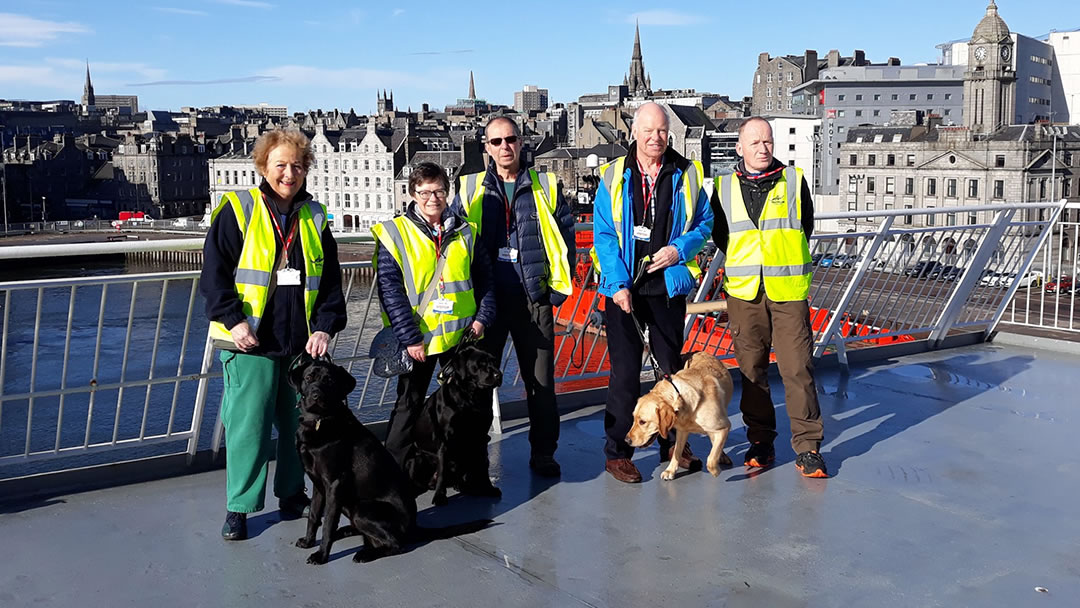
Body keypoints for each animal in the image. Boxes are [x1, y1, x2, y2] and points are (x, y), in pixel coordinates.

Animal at [287, 356, 490, 565]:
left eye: (329, 381)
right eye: (308, 378)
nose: (316, 395)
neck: (319, 422)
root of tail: (413, 527)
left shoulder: (334, 484)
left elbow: (328, 522)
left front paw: (321, 555)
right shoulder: (319, 484)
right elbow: (313, 516)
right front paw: (308, 541)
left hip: (362, 508)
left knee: (396, 544)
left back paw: (365, 553)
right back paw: (345, 531)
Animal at [406, 345, 505, 507]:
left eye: (494, 362)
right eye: (481, 363)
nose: (499, 375)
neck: (471, 398)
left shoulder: (481, 437)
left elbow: (484, 466)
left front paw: (488, 488)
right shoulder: (445, 440)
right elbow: (442, 472)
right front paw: (440, 496)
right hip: (416, 459)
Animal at [626, 352, 734, 481]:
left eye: (642, 422)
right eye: (633, 419)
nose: (626, 440)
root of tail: (700, 352)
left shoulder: (724, 426)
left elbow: (710, 459)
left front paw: (716, 471)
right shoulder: (682, 431)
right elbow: (676, 452)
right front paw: (670, 470)